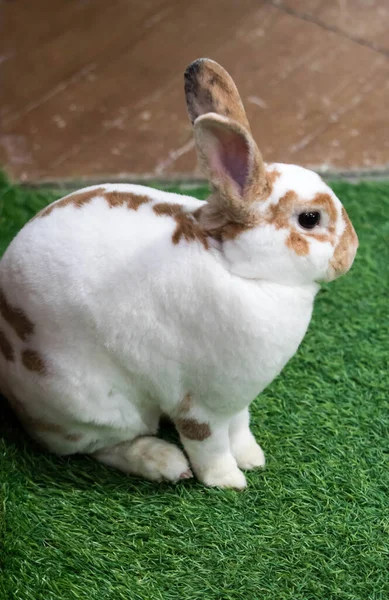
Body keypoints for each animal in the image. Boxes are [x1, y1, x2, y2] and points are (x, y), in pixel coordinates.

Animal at [0, 58, 358, 488]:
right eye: (310, 219)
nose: (351, 251)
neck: (241, 270)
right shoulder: (199, 405)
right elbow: (209, 445)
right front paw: (228, 482)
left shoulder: (236, 400)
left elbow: (240, 427)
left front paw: (252, 458)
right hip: (92, 403)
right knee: (98, 446)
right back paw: (164, 463)